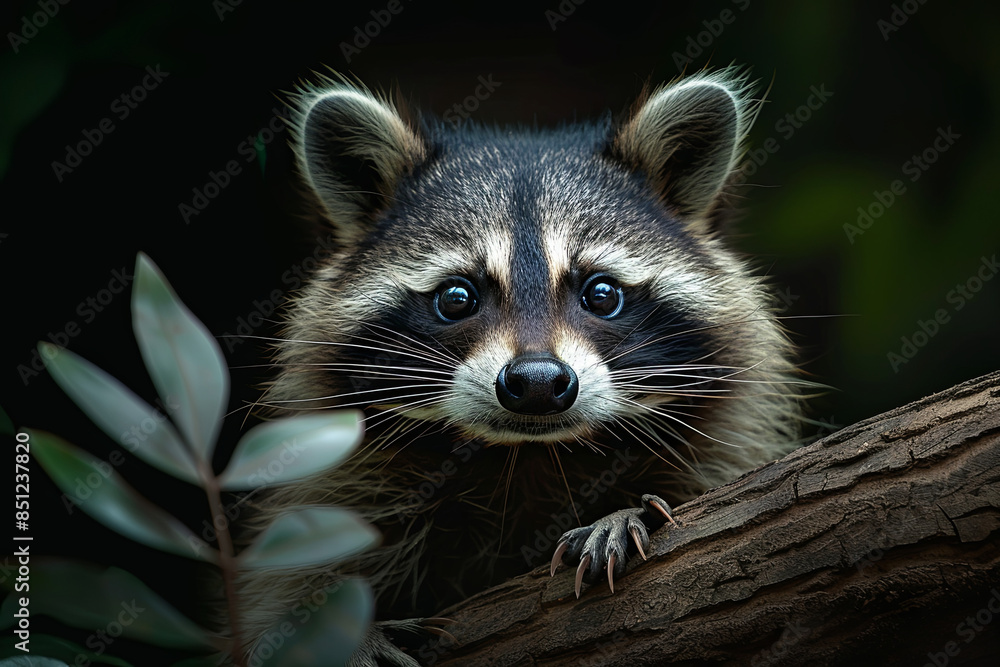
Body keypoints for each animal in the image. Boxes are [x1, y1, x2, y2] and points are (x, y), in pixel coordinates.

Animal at [238, 68, 804, 665]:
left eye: (601, 293)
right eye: (457, 298)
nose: (536, 383)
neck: (527, 458)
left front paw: (622, 515)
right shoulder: (342, 492)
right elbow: (277, 604)